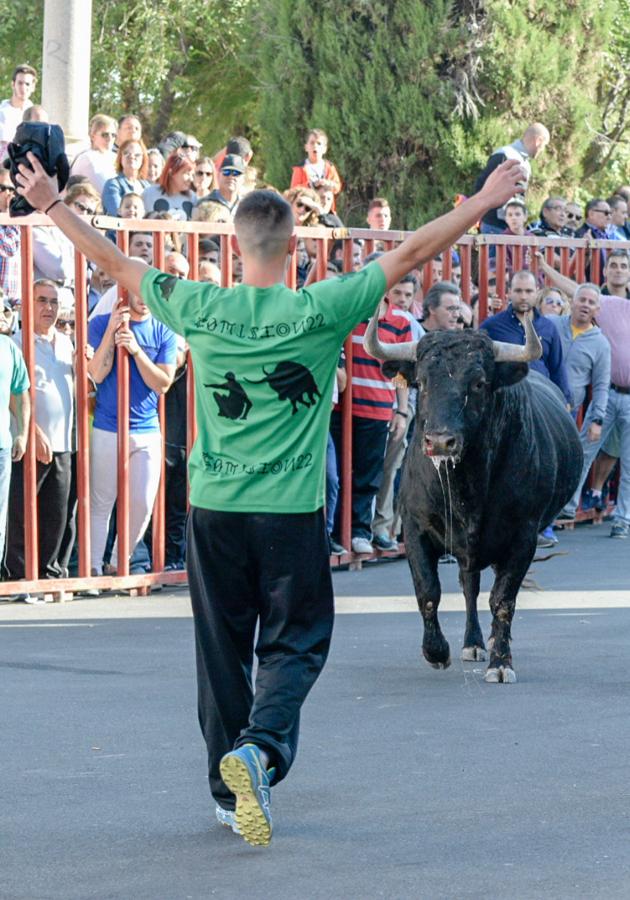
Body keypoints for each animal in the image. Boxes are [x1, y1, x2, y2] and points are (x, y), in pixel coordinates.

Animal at [370, 324, 584, 684]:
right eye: (421, 382)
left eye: (479, 383)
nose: (440, 441)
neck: (466, 487)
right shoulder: (414, 528)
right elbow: (428, 591)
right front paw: (436, 651)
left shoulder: (522, 537)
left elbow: (503, 600)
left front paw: (501, 662)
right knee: (468, 586)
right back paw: (472, 643)